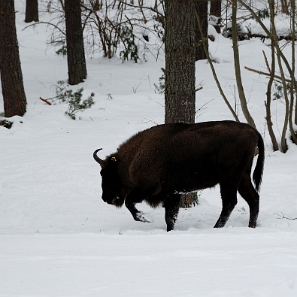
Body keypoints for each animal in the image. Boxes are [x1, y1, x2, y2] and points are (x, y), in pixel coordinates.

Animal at [92, 120, 264, 231]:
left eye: (105, 173)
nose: (105, 198)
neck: (134, 156)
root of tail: (252, 130)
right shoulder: (171, 193)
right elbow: (170, 217)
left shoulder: (149, 188)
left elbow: (130, 203)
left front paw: (145, 218)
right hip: (242, 177)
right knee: (253, 198)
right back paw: (251, 227)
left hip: (229, 178)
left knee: (230, 202)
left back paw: (216, 228)